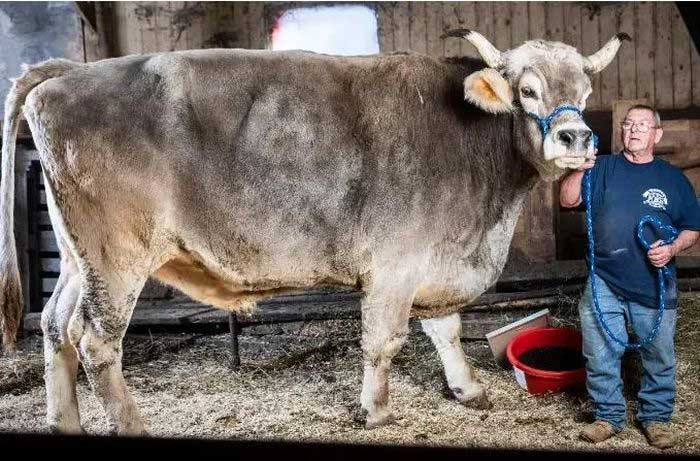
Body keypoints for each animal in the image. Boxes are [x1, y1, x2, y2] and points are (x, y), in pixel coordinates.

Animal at [0, 30, 626, 435]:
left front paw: (468, 390)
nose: (575, 139)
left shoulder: (435, 261)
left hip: (80, 258)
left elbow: (445, 330)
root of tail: (75, 72)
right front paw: (375, 411)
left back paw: (64, 422)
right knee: (95, 340)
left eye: (585, 93)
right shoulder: (395, 265)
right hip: (116, 258)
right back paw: (131, 426)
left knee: (55, 325)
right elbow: (384, 341)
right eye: (527, 90)